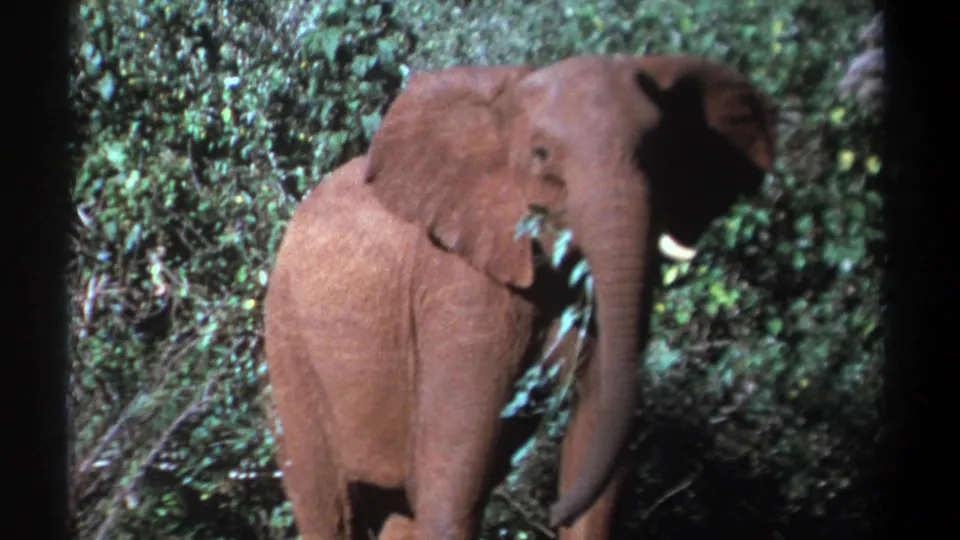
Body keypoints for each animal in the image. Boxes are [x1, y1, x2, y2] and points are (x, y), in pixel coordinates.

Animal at [263, 53, 778, 540]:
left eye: (659, 153)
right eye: (541, 154)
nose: (550, 511)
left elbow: (598, 435)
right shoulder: (460, 280)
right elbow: (454, 475)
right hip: (288, 339)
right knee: (327, 502)